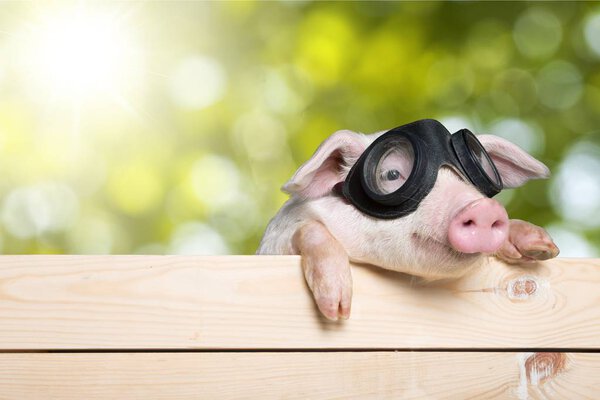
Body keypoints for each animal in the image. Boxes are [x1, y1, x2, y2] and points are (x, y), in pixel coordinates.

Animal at [256, 123, 556, 320]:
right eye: (391, 174)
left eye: (472, 177)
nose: (484, 208)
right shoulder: (276, 241)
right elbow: (310, 229)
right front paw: (338, 308)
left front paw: (542, 246)